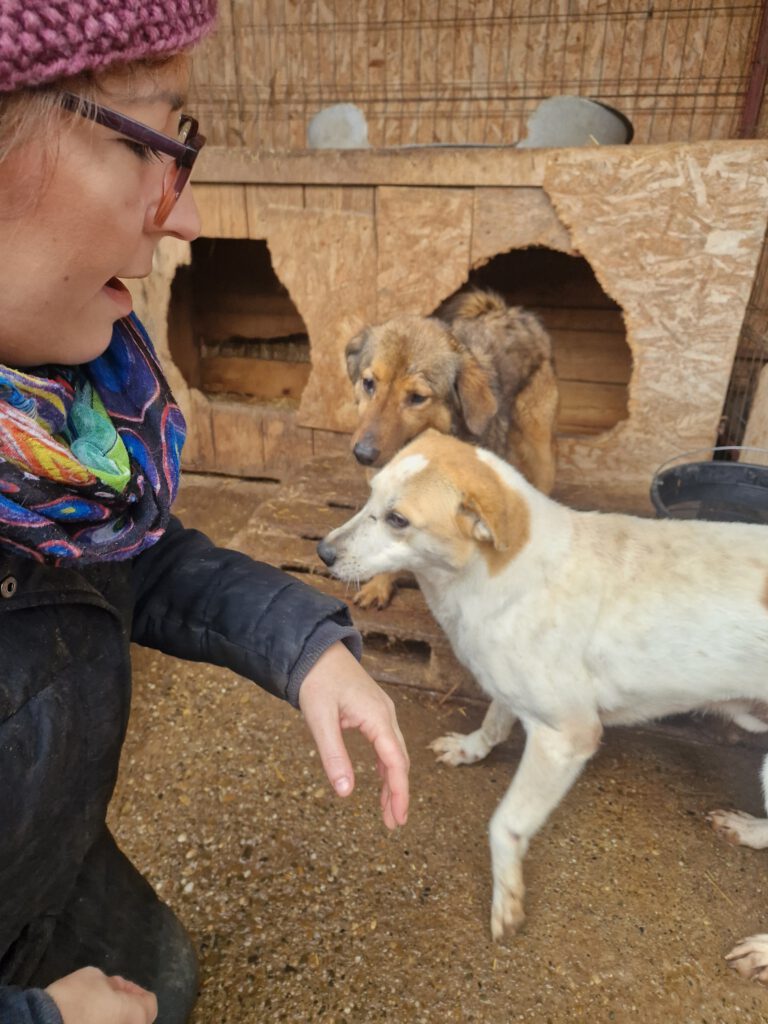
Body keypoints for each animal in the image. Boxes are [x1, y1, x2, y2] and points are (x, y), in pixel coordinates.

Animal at [317, 429, 768, 980]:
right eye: (369, 495)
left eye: (398, 519)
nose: (322, 552)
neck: (491, 578)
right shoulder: (512, 689)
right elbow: (493, 722)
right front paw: (470, 749)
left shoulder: (567, 737)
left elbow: (504, 824)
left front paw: (506, 898)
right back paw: (747, 829)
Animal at [344, 289, 558, 609]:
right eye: (369, 383)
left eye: (417, 397)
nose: (363, 454)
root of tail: (509, 311)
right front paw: (379, 585)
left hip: (539, 446)